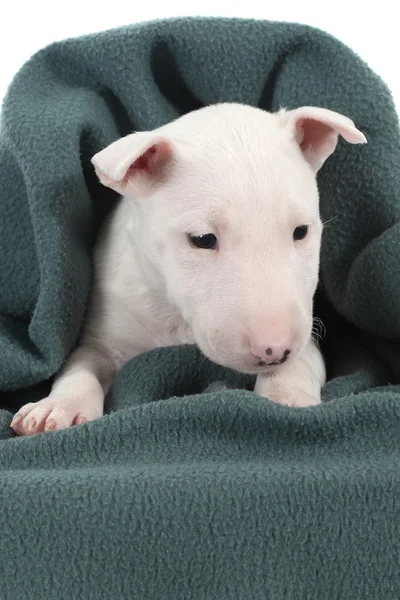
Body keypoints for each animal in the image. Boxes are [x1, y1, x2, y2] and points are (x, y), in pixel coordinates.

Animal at [10, 101, 366, 434]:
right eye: (203, 239)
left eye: (301, 231)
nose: (274, 350)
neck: (175, 317)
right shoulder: (106, 328)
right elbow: (81, 365)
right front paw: (59, 407)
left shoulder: (307, 335)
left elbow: (303, 359)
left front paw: (285, 396)